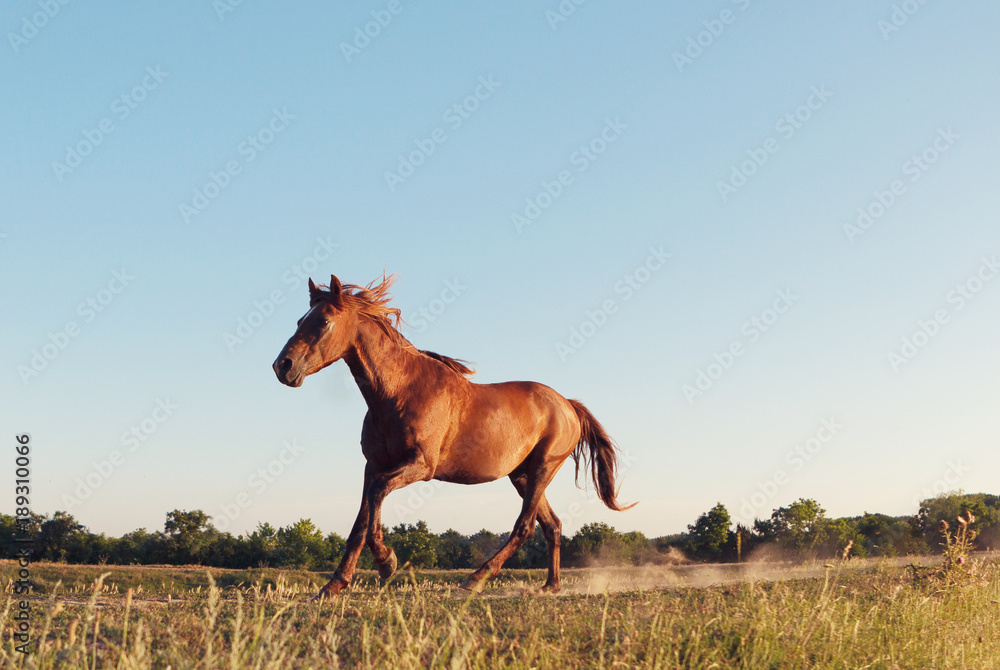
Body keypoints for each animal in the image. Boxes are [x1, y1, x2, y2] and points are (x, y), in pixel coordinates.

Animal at [272, 274, 633, 599]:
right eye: (300, 319)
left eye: (323, 321)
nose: (282, 366)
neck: (397, 393)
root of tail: (568, 404)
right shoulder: (372, 466)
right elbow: (361, 522)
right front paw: (334, 586)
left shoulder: (419, 466)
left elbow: (375, 499)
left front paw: (387, 563)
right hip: (522, 474)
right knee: (552, 525)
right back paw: (549, 587)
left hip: (543, 468)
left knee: (525, 527)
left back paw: (475, 579)